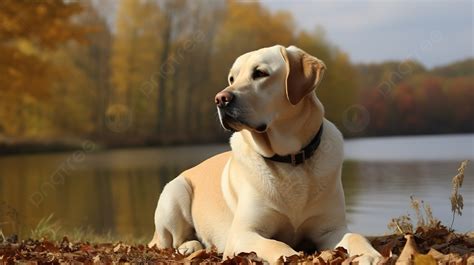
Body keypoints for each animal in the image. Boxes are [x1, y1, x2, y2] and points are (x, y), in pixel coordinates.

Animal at [150, 44, 384, 262]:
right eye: (232, 78)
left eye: (260, 73)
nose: (220, 98)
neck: (290, 159)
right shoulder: (243, 232)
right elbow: (275, 245)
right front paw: (292, 257)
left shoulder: (331, 229)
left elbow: (355, 236)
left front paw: (370, 255)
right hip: (175, 191)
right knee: (172, 241)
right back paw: (190, 246)